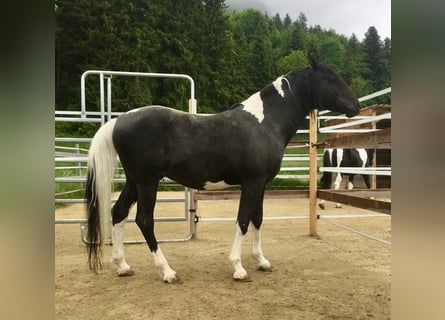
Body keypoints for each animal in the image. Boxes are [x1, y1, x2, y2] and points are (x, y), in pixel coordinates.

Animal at [85, 57, 360, 282]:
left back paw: (123, 266)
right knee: (144, 220)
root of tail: (118, 121)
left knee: (118, 213)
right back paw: (167, 272)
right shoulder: (251, 183)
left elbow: (257, 219)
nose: (356, 105)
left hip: (134, 181)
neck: (266, 122)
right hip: (147, 182)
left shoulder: (261, 184)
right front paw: (238, 268)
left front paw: (261, 261)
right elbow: (243, 221)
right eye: (330, 78)